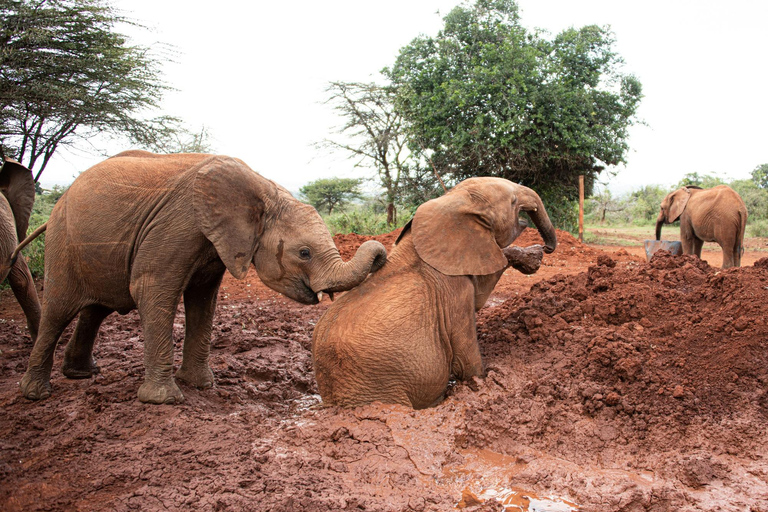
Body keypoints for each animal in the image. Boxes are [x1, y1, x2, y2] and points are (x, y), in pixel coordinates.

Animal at [20, 151, 387, 404]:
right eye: (305, 253)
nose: (383, 256)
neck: (263, 188)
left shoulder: (212, 242)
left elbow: (202, 299)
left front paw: (201, 385)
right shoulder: (176, 225)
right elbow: (152, 289)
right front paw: (165, 401)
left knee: (97, 308)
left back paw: (81, 374)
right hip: (62, 241)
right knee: (59, 309)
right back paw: (35, 394)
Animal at [312, 177, 557, 409]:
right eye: (513, 201)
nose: (548, 248)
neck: (451, 201)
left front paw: (532, 258)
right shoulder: (453, 291)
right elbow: (466, 361)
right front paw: (484, 379)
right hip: (378, 390)